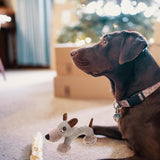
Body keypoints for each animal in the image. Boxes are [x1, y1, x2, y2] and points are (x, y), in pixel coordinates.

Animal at [70, 30, 160, 160]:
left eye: (105, 41)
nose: (71, 52)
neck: (139, 96)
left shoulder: (149, 156)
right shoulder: (120, 129)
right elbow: (97, 126)